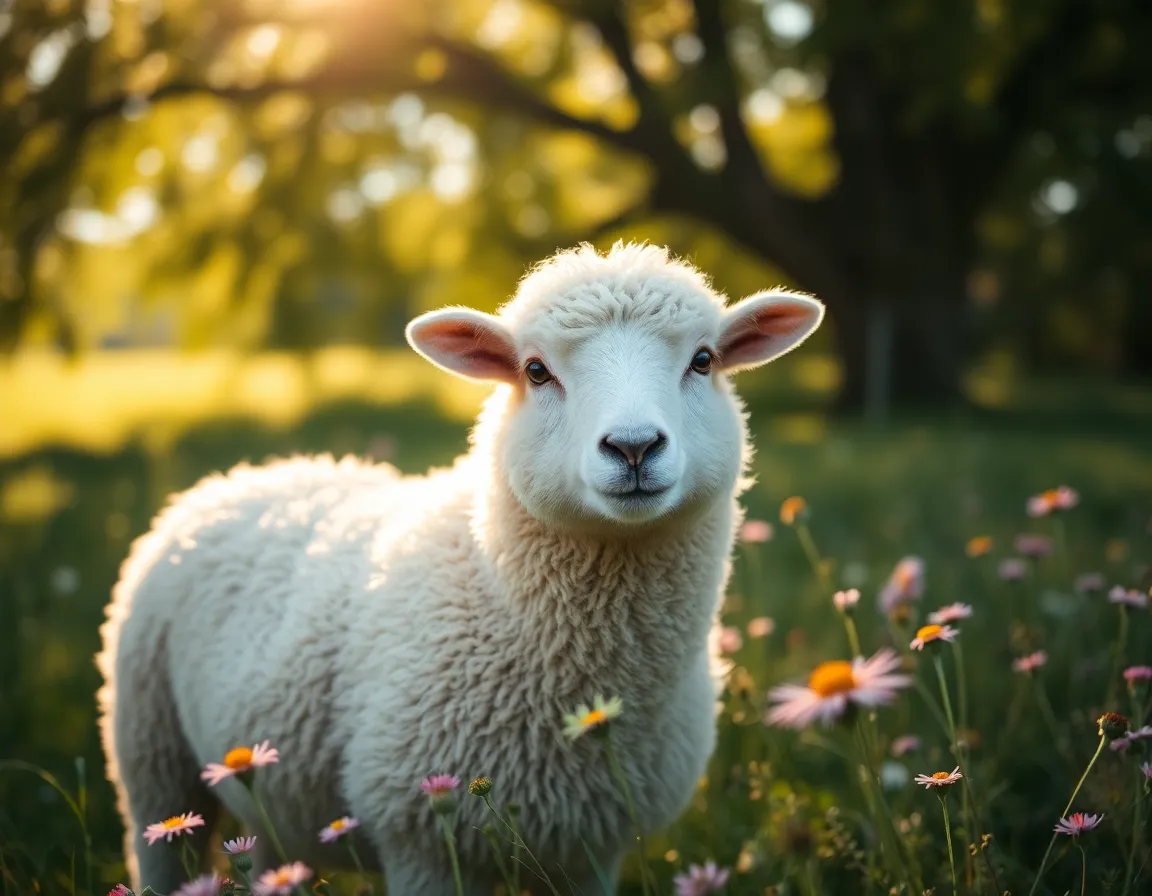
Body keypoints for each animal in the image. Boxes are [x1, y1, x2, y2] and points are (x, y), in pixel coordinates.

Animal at [96, 241, 824, 895]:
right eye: (536, 371)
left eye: (703, 361)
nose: (634, 446)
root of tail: (248, 474)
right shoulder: (420, 838)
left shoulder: (593, 849)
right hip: (150, 755)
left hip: (265, 801)